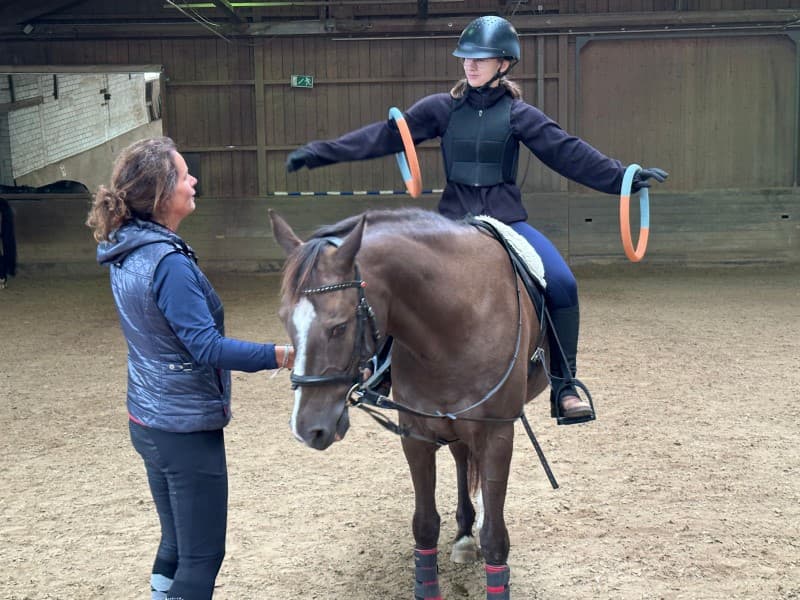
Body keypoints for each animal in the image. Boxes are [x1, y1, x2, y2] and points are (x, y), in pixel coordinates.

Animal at [269, 207, 552, 600]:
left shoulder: (497, 434)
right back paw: (464, 534)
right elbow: (424, 526)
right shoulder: (415, 434)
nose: (306, 429)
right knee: (462, 458)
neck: (453, 324)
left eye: (339, 327)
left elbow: (496, 538)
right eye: (285, 320)